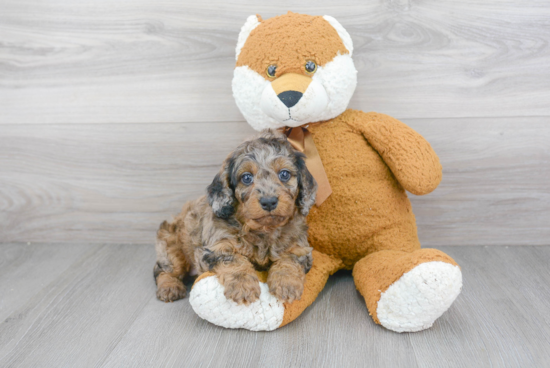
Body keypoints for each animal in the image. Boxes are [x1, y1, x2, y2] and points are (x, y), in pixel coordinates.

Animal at [155, 129, 320, 304]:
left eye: (284, 174)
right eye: (246, 177)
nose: (269, 202)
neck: (263, 230)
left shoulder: (299, 247)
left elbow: (290, 259)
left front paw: (286, 284)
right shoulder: (215, 248)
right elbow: (234, 260)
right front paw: (243, 287)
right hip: (170, 247)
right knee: (162, 270)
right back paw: (169, 287)